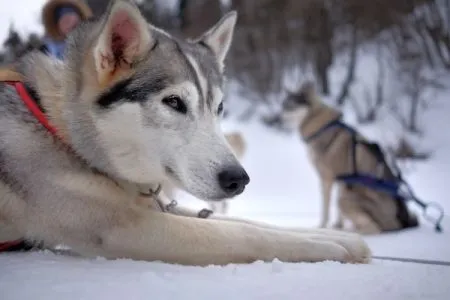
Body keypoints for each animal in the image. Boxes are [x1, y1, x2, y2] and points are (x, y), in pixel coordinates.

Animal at [0, 0, 370, 264]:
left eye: (219, 107)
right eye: (174, 102)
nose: (237, 179)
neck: (63, 134)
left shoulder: (155, 207)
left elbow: (247, 223)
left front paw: (334, 237)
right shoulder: (123, 227)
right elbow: (240, 235)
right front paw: (324, 247)